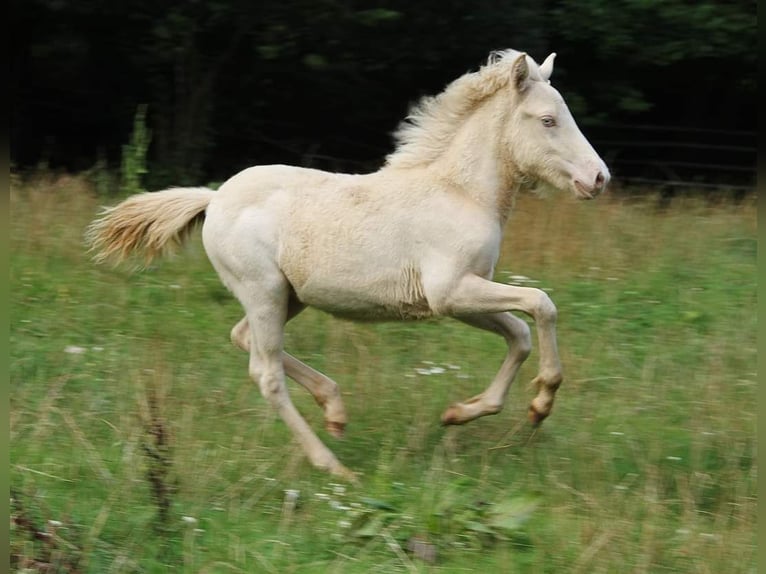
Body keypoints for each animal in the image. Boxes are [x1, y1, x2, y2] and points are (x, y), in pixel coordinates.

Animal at [87, 50, 608, 482]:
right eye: (548, 120)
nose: (599, 178)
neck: (460, 193)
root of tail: (213, 199)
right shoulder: (451, 292)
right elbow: (541, 304)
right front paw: (542, 401)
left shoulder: (462, 296)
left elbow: (519, 335)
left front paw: (461, 413)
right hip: (263, 291)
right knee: (266, 373)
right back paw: (332, 465)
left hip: (287, 297)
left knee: (243, 339)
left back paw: (334, 408)